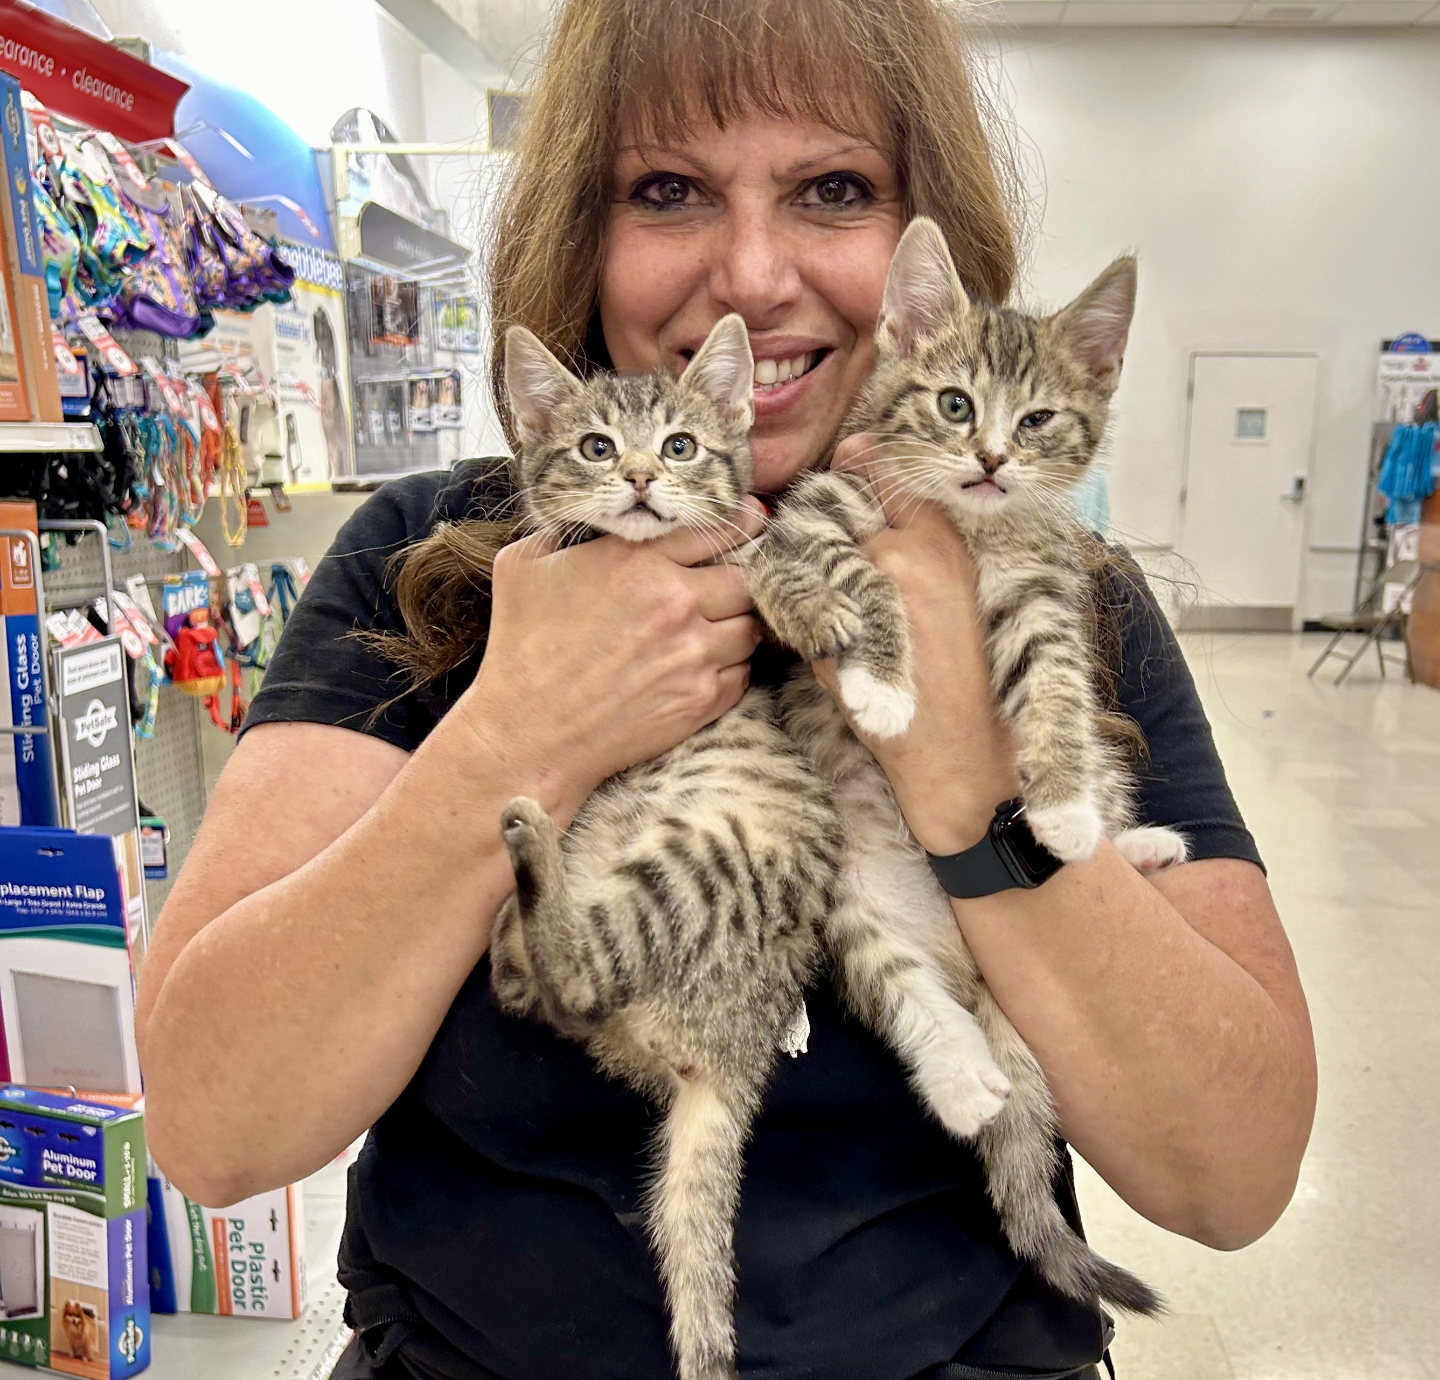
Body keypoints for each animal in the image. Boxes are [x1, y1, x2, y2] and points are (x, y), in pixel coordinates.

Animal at [489, 315, 840, 1380]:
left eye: (681, 445)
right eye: (598, 447)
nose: (643, 478)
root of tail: (736, 1059)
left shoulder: (737, 555)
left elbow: (764, 557)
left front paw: (811, 601)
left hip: (702, 862)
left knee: (568, 983)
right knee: (550, 989)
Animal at [743, 216, 1180, 1319]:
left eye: (1036, 420)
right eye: (952, 404)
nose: (988, 458)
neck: (973, 527)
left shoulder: (1041, 587)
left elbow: (1058, 680)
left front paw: (1059, 804)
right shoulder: (819, 513)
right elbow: (848, 575)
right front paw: (885, 684)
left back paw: (1134, 846)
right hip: (852, 905)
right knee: (903, 993)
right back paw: (962, 1075)